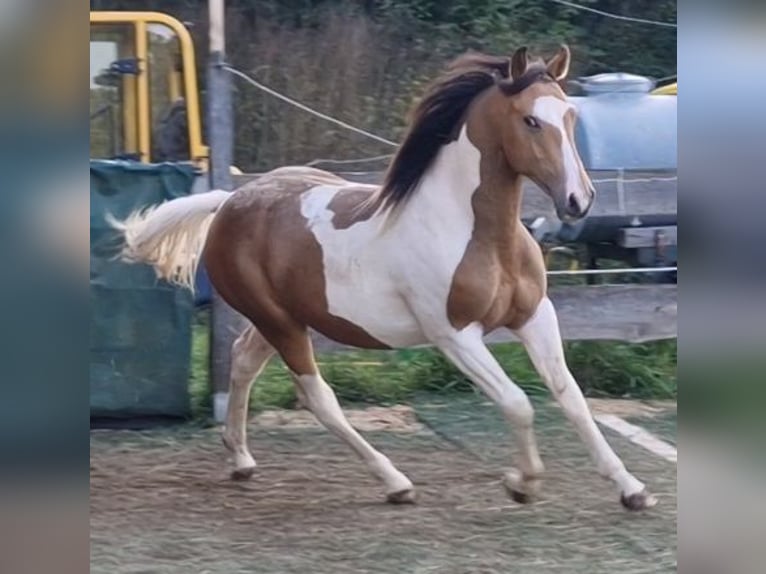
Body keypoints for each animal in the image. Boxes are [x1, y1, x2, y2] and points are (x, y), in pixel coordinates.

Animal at [111, 45, 656, 511]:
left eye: (570, 116)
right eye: (530, 120)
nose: (579, 200)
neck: (475, 232)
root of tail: (229, 201)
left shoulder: (534, 317)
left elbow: (572, 399)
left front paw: (631, 489)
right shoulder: (455, 335)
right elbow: (519, 403)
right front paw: (521, 483)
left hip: (279, 320)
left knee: (244, 363)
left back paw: (242, 459)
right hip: (280, 323)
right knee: (318, 397)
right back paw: (395, 482)